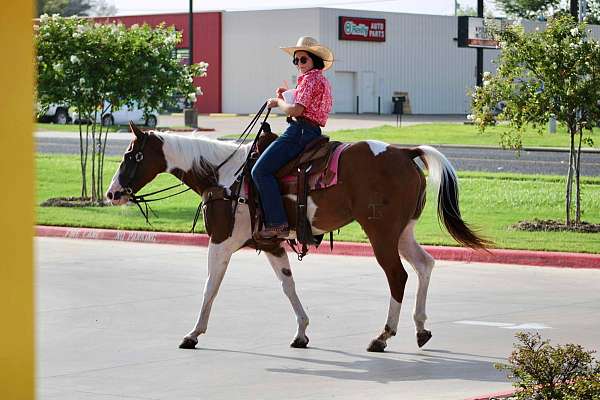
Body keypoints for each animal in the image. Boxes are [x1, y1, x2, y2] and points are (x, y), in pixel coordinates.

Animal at [106, 123, 488, 352]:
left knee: (398, 276)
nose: (112, 193)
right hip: (402, 232)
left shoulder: (221, 242)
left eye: (131, 155)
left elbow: (210, 287)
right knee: (425, 265)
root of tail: (405, 152)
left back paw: (382, 337)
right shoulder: (272, 244)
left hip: (381, 233)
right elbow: (288, 286)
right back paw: (421, 329)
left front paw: (193, 333)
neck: (225, 177)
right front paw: (302, 331)